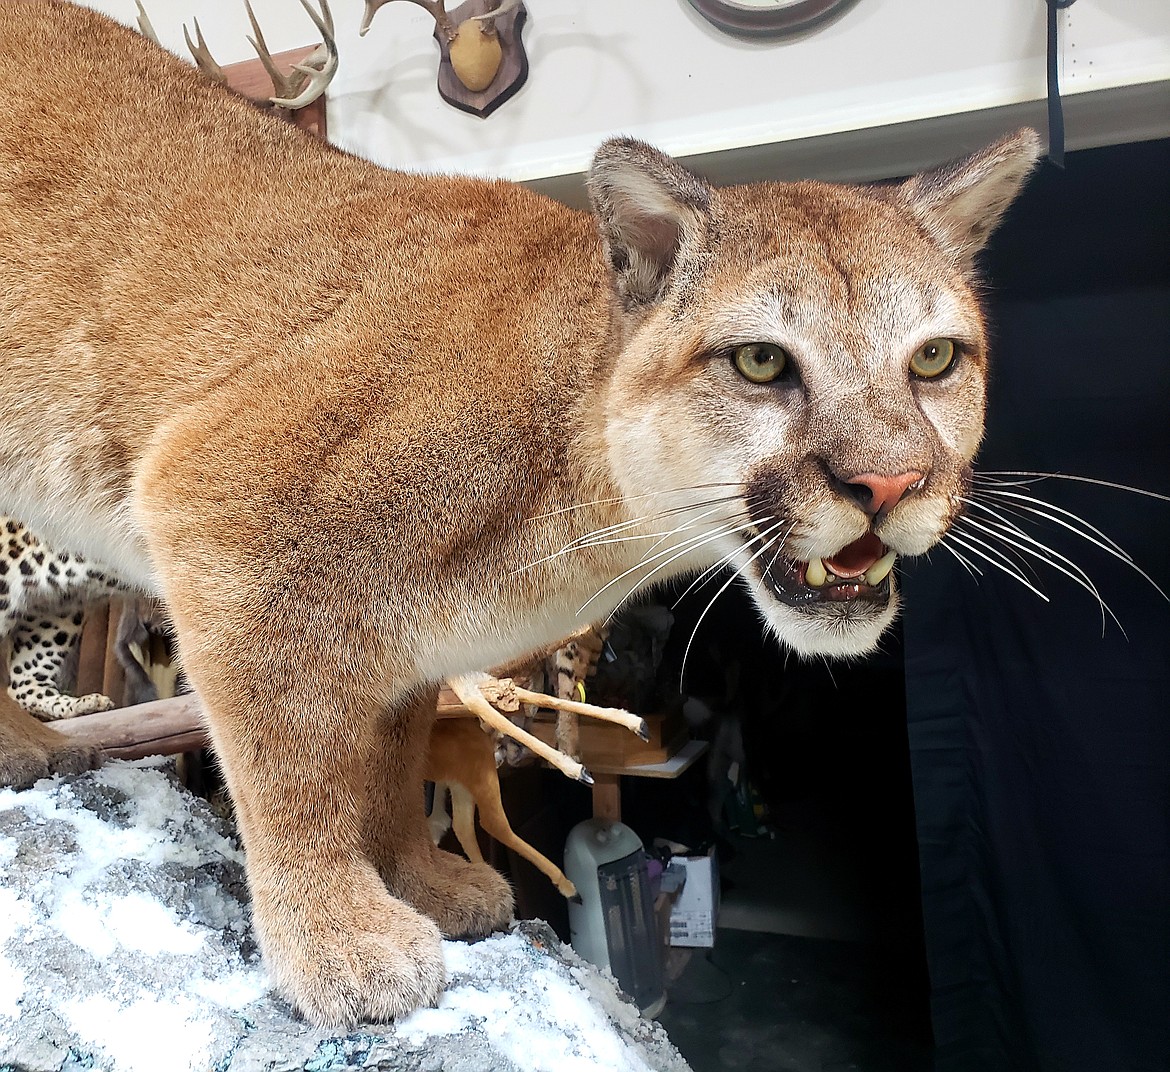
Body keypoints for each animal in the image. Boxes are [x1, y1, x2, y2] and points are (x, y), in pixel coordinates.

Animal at [2, 0, 1043, 1025]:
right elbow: (293, 772)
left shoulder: (396, 638)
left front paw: (421, 878)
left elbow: (391, 764)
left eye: (935, 359)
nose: (891, 484)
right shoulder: (221, 504)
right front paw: (336, 940)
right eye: (760, 362)